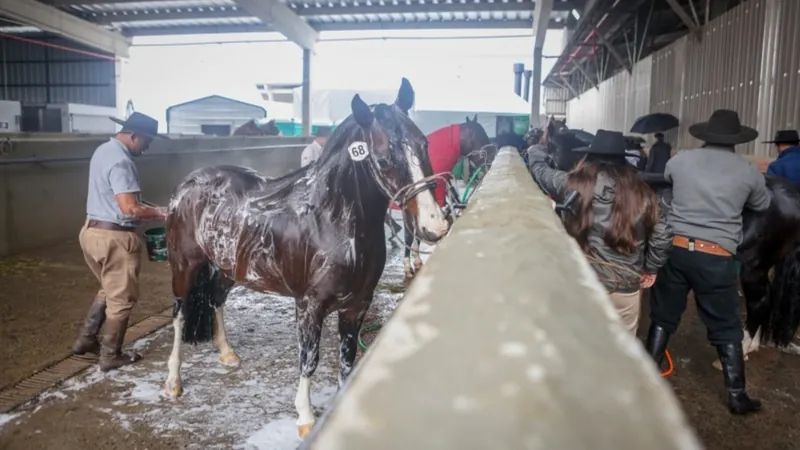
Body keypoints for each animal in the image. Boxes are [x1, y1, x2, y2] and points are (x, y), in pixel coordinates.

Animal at [164, 79, 450, 438]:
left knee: (216, 299)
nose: (434, 226)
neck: (329, 220)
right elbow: (309, 359)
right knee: (179, 315)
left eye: (423, 144)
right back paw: (173, 382)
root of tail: (187, 186)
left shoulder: (357, 305)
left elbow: (347, 360)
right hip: (184, 268)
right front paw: (305, 419)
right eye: (384, 159)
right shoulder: (309, 305)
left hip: (229, 269)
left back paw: (227, 354)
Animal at [396, 114, 490, 280]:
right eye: (479, 135)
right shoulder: (407, 207)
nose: (489, 162)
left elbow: (419, 233)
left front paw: (417, 261)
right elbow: (409, 234)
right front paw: (408, 267)